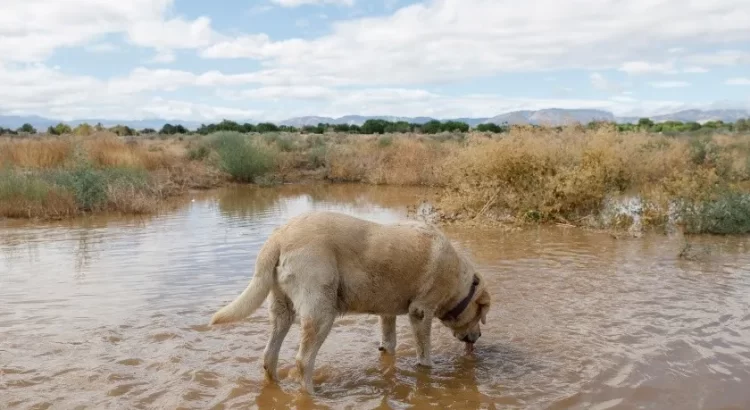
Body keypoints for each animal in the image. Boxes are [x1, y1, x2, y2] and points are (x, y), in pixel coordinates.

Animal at [212, 211, 494, 394]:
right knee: (303, 360)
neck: (458, 286)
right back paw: (312, 394)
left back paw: (277, 387)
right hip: (322, 313)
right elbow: (424, 352)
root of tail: (278, 237)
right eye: (481, 315)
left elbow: (389, 342)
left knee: (269, 355)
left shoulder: (387, 312)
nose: (479, 337)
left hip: (281, 310)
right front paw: (427, 370)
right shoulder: (421, 311)